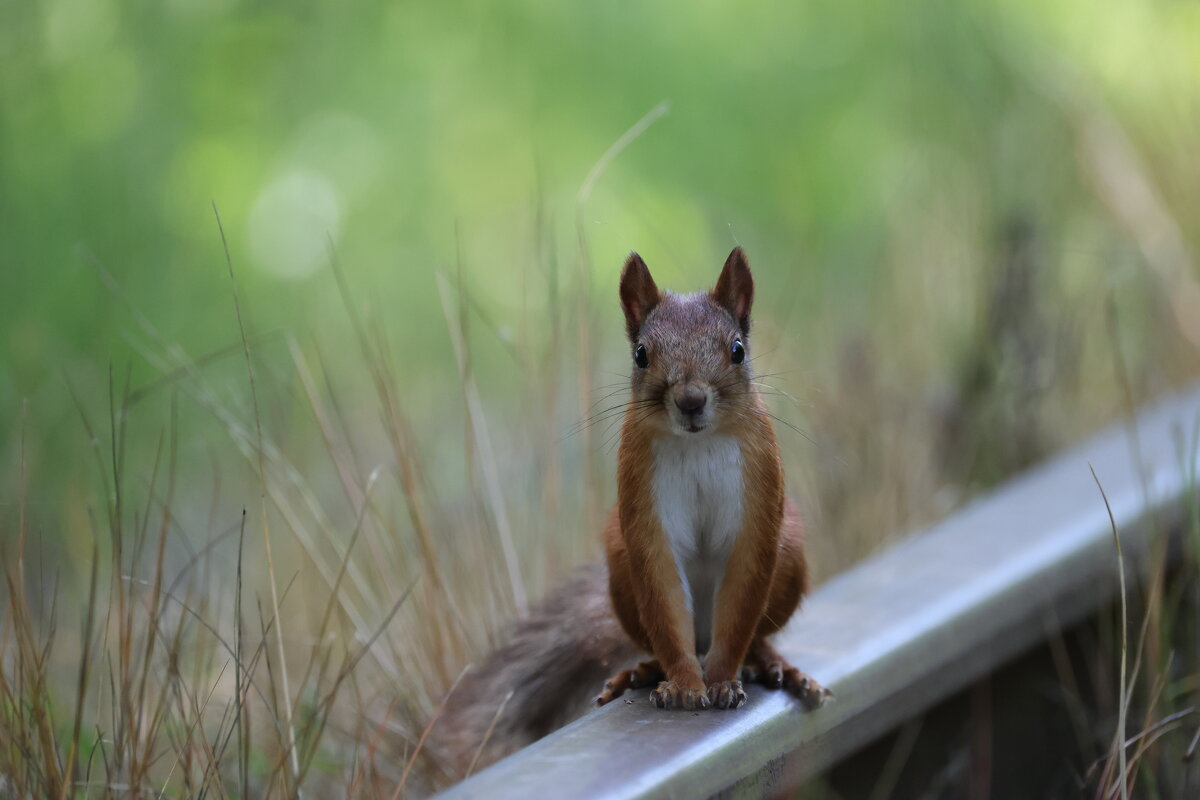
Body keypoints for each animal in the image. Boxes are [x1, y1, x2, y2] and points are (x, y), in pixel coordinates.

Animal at [431, 249, 825, 778]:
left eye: (738, 349)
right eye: (641, 354)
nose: (690, 400)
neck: (696, 443)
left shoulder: (760, 508)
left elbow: (742, 602)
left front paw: (721, 680)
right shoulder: (642, 510)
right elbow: (662, 597)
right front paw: (686, 686)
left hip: (789, 558)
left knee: (753, 632)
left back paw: (771, 663)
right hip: (620, 572)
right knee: (662, 636)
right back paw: (643, 670)